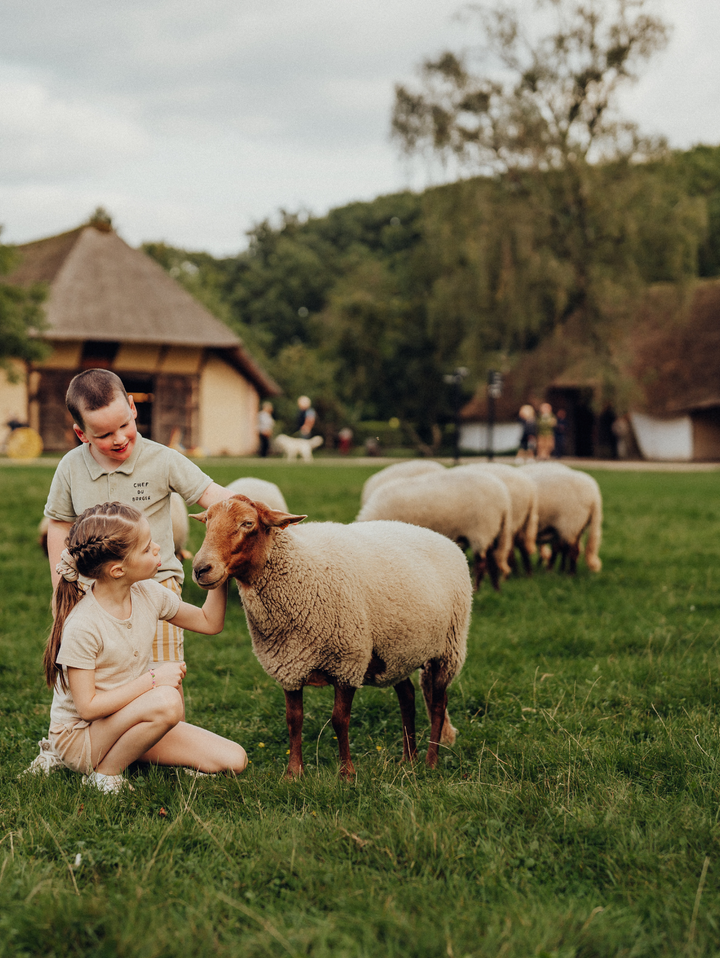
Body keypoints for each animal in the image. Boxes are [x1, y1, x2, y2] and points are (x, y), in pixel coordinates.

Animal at [191, 496, 472, 780]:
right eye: (207, 522)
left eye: (247, 523)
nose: (201, 569)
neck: (299, 571)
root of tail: (442, 538)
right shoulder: (288, 665)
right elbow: (294, 720)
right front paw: (294, 773)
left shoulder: (347, 663)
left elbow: (339, 720)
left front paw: (347, 773)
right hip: (395, 651)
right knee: (408, 697)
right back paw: (408, 759)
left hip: (448, 649)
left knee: (437, 703)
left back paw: (431, 760)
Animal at [354, 466, 512, 592]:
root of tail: (504, 499)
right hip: (494, 530)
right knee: (492, 559)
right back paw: (496, 589)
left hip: (481, 529)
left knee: (481, 563)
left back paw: (477, 589)